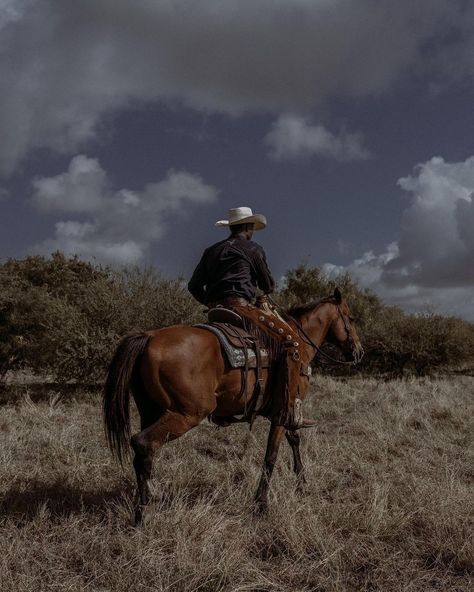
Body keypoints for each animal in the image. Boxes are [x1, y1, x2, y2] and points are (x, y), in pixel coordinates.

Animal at [103, 286, 362, 524]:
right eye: (350, 318)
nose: (358, 352)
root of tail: (149, 337)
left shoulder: (289, 411)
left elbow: (294, 440)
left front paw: (301, 483)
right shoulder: (283, 411)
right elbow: (271, 455)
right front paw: (261, 504)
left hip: (150, 411)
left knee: (143, 452)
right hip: (187, 414)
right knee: (143, 443)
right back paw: (143, 512)